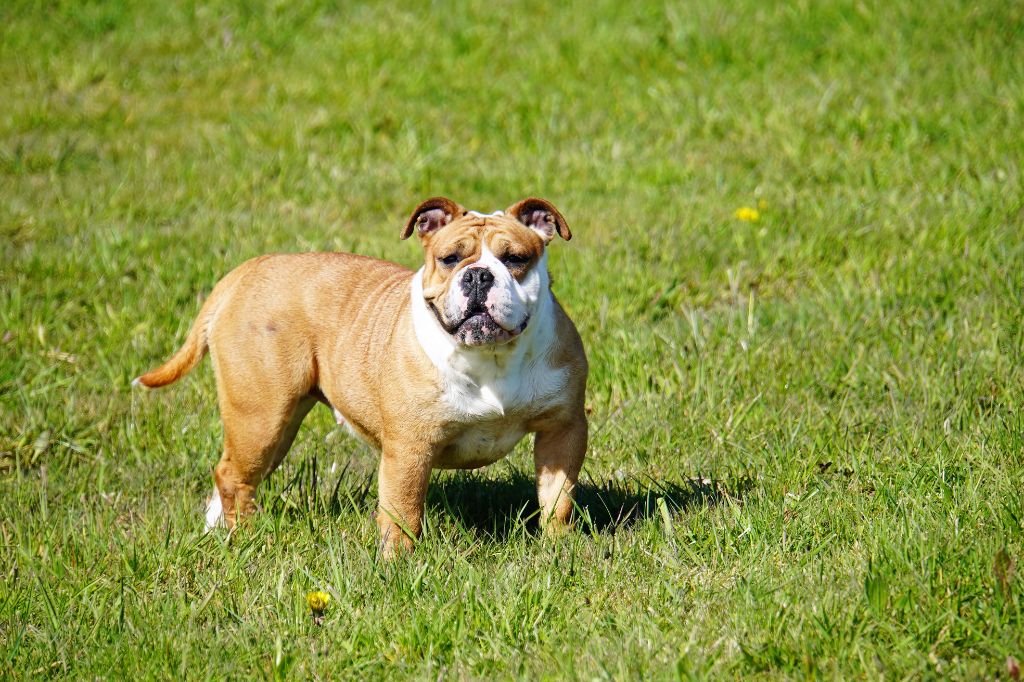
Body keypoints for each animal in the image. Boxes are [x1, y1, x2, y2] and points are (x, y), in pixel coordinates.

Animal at [134, 195, 593, 552]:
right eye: (449, 259)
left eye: (515, 259)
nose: (478, 275)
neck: (491, 356)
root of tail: (246, 271)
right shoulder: (409, 449)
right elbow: (403, 512)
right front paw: (399, 565)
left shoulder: (563, 430)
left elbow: (557, 498)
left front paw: (558, 548)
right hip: (261, 418)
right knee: (235, 475)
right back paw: (245, 537)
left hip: (273, 426)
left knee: (230, 473)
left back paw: (219, 530)